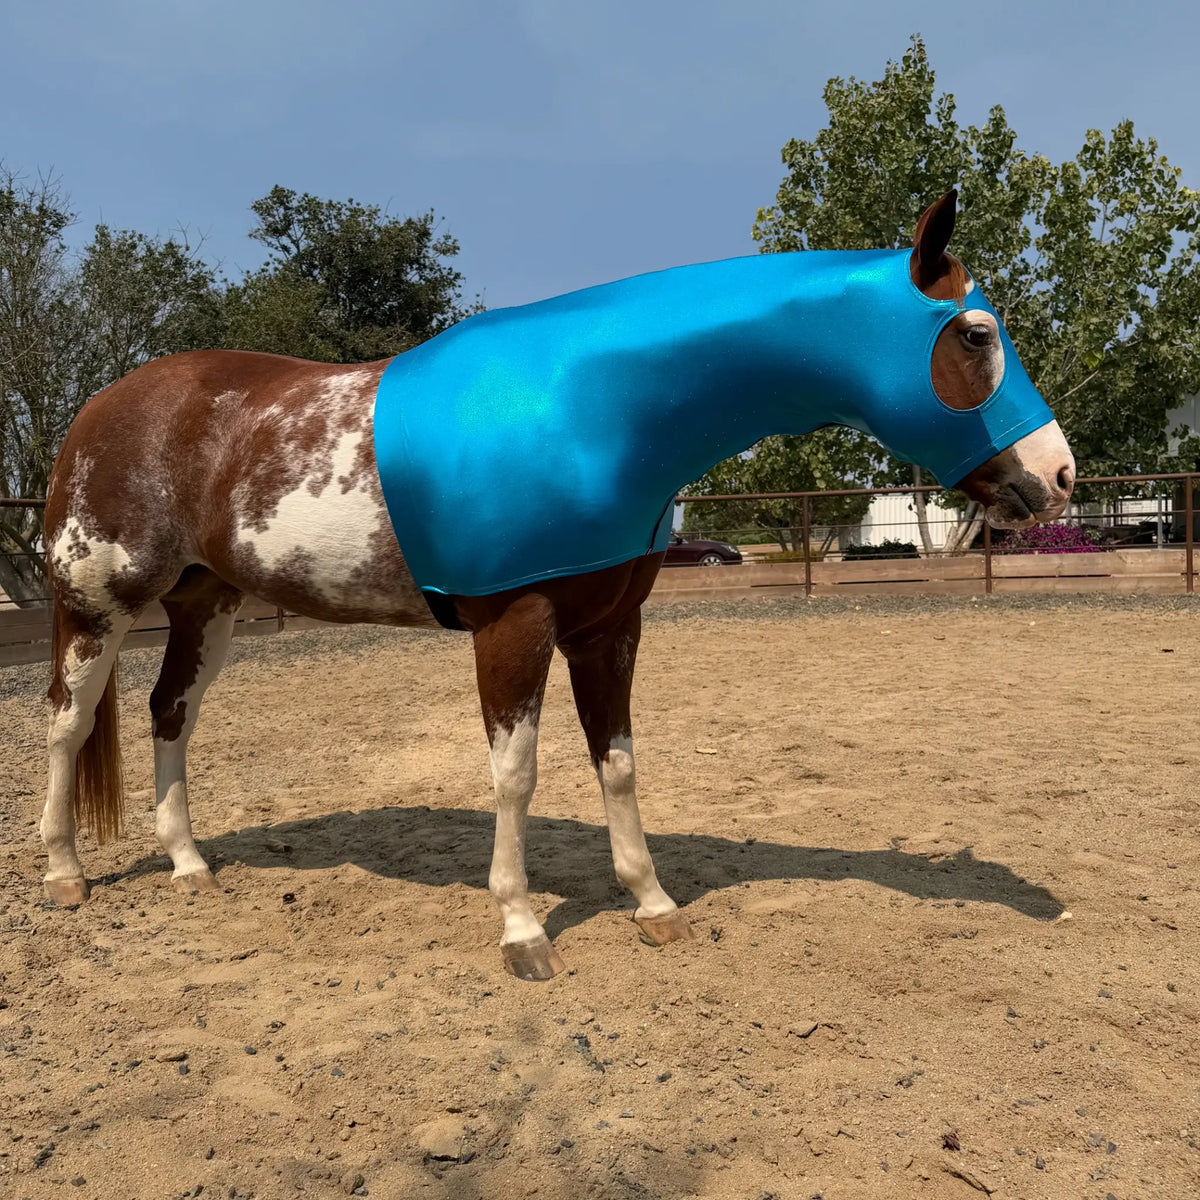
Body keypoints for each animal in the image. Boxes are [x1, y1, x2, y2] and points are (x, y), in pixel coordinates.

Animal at [39, 192, 1074, 981]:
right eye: (976, 334)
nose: (1056, 476)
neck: (592, 403)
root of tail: (100, 408)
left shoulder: (608, 629)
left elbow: (617, 762)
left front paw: (652, 902)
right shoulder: (516, 625)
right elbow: (517, 774)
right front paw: (523, 928)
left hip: (205, 605)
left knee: (171, 712)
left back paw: (188, 862)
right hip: (98, 607)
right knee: (68, 721)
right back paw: (64, 874)